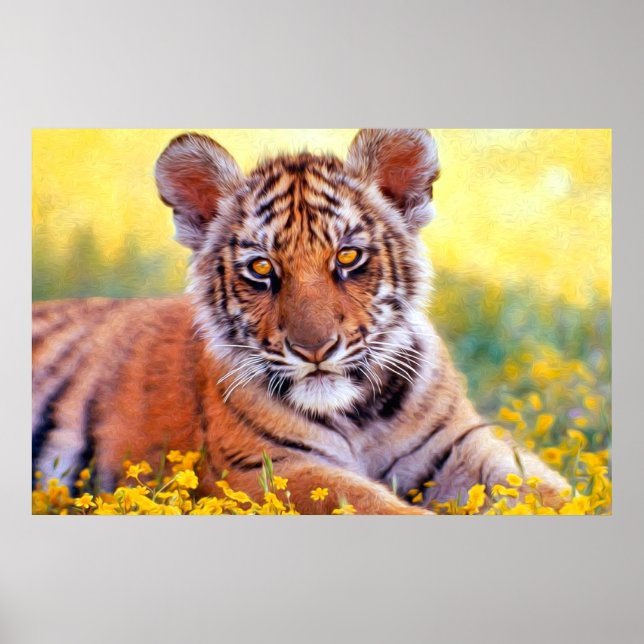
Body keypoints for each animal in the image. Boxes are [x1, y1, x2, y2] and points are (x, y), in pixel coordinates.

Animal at [32, 129, 570, 514]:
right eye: (261, 268)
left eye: (348, 257)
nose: (315, 349)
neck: (360, 415)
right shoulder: (268, 467)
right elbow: (370, 503)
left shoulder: (458, 443)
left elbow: (545, 486)